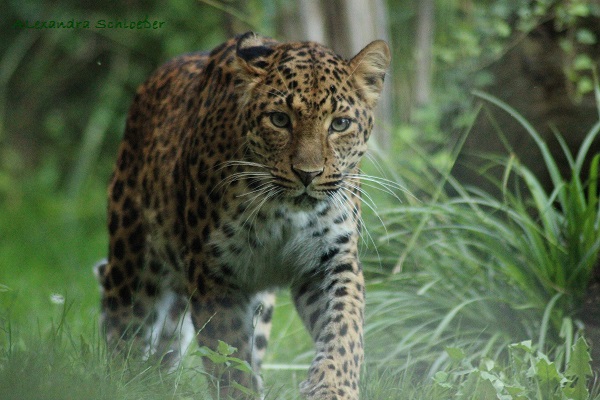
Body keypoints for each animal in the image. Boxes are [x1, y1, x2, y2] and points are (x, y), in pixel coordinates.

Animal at [95, 32, 390, 400]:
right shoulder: (214, 275)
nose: (308, 174)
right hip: (133, 260)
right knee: (126, 334)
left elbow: (344, 329)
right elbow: (229, 357)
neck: (282, 213)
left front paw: (333, 388)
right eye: (279, 120)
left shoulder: (330, 260)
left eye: (340, 124)